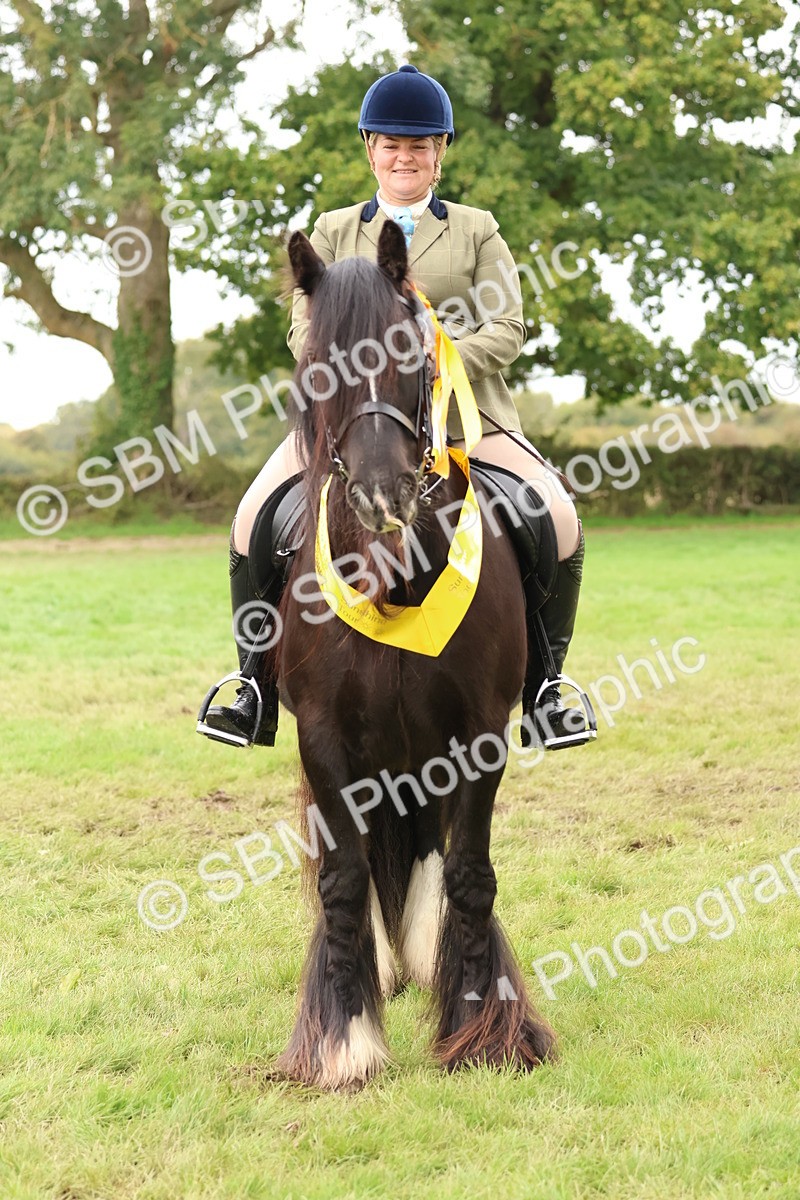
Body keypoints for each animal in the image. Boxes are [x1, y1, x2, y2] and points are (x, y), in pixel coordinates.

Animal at [270, 219, 557, 1089]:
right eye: (316, 361)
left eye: (413, 353)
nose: (380, 497)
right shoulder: (323, 735)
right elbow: (340, 878)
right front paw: (343, 1041)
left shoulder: (479, 730)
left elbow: (470, 873)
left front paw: (486, 1030)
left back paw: (430, 960)